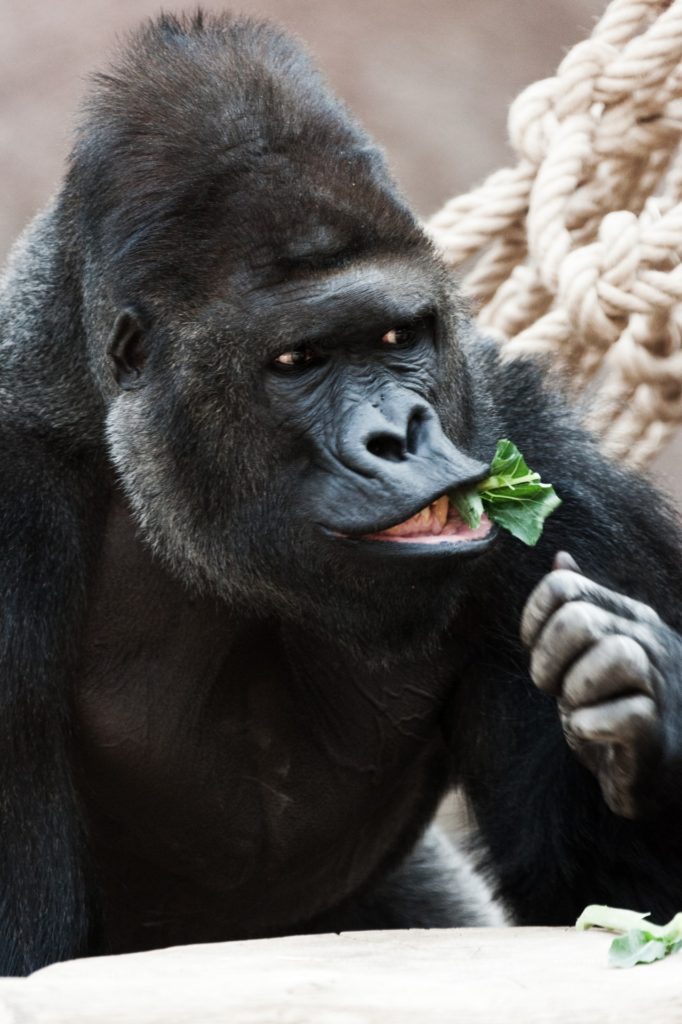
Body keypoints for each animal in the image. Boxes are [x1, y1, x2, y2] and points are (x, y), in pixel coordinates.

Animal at [1, 9, 679, 974]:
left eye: (400, 337)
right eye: (300, 360)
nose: (400, 436)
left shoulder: (545, 469)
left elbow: (604, 899)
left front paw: (638, 689)